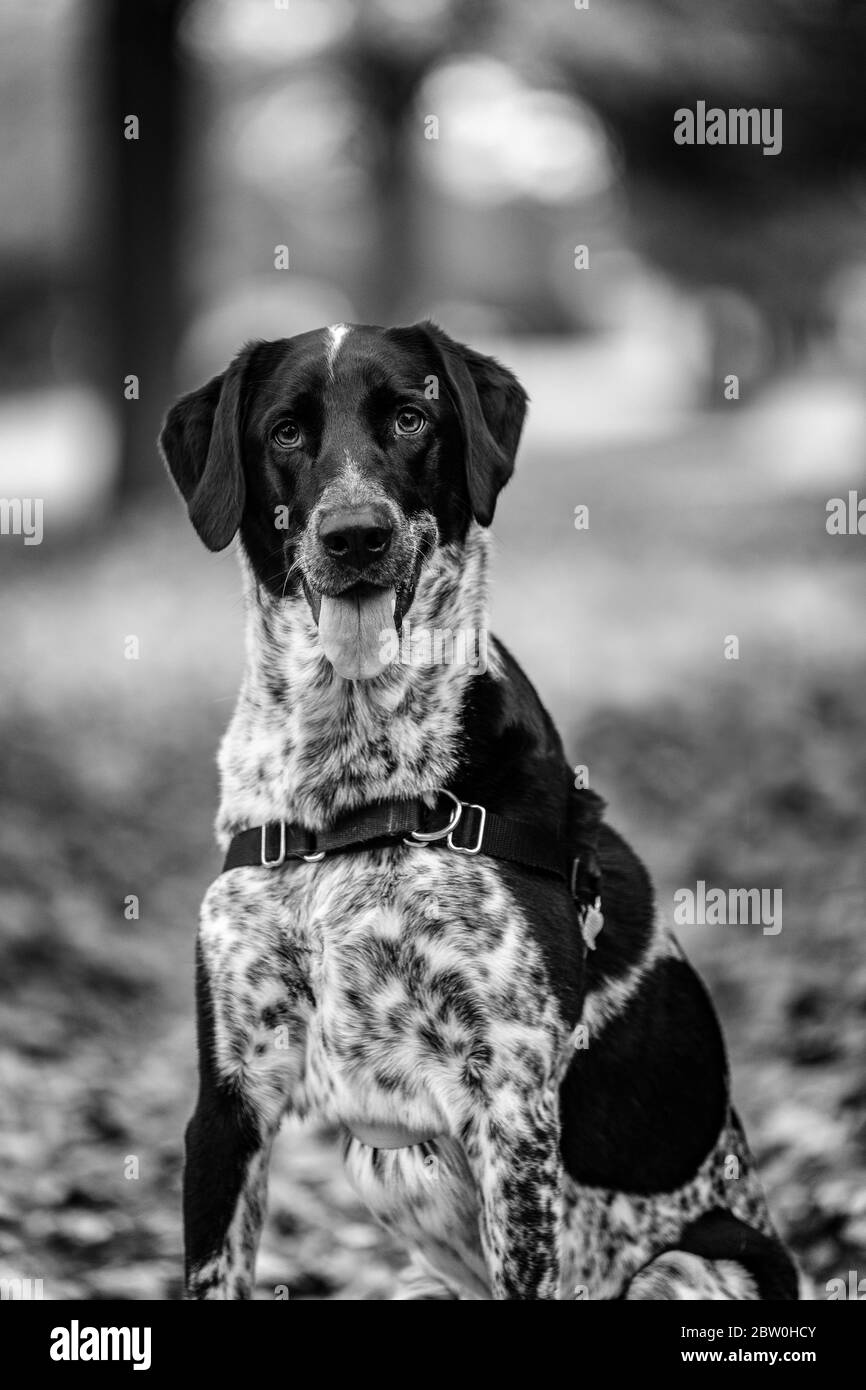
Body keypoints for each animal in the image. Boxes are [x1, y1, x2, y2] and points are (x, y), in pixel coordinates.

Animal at [161, 319, 800, 1295]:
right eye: (285, 432)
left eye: (411, 418)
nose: (354, 535)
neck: (351, 794)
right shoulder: (231, 1096)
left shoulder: (511, 1106)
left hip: (686, 1264)